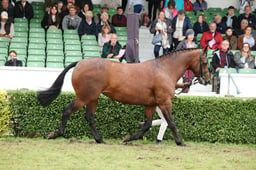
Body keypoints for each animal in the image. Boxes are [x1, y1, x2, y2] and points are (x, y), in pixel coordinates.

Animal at [37, 47, 210, 146]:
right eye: (205, 62)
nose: (207, 80)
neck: (164, 69)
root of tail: (80, 62)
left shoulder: (151, 104)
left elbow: (147, 125)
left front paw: (127, 138)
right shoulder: (165, 102)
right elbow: (171, 123)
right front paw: (180, 142)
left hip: (93, 98)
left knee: (90, 117)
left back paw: (99, 139)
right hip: (84, 97)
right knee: (67, 110)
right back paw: (56, 134)